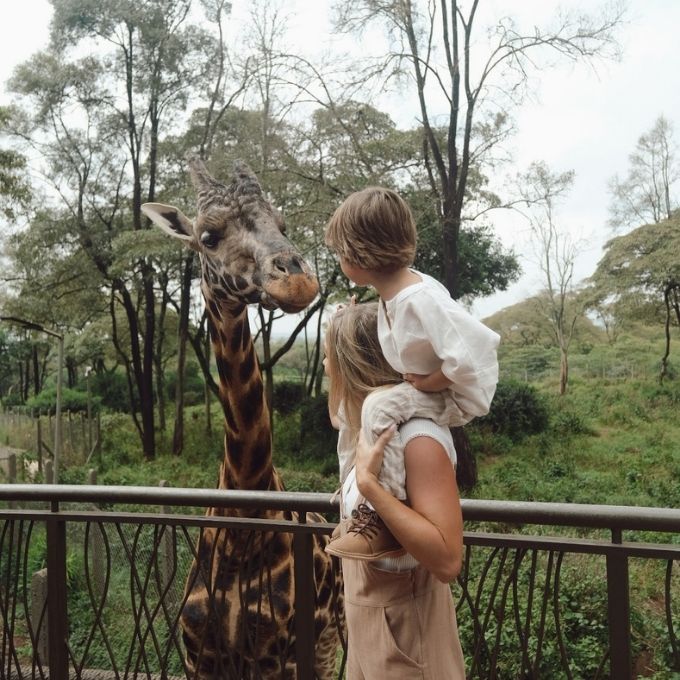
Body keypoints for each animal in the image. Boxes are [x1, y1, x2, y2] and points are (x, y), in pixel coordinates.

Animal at [142, 157, 342, 679]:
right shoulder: (200, 655)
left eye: (283, 225)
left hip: (330, 641)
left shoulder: (280, 656)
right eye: (208, 237)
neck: (241, 525)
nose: (296, 278)